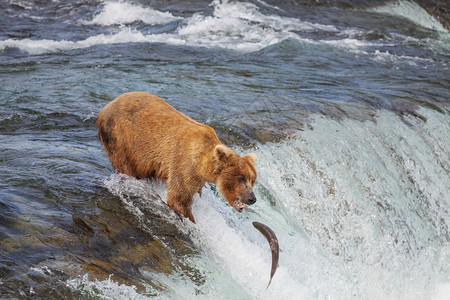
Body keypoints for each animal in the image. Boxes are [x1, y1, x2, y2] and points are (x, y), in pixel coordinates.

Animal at [96, 92, 256, 223]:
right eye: (241, 178)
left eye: (252, 180)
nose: (252, 198)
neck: (202, 165)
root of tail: (105, 107)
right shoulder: (183, 164)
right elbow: (178, 199)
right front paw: (190, 219)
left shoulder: (197, 178)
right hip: (120, 139)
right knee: (126, 167)